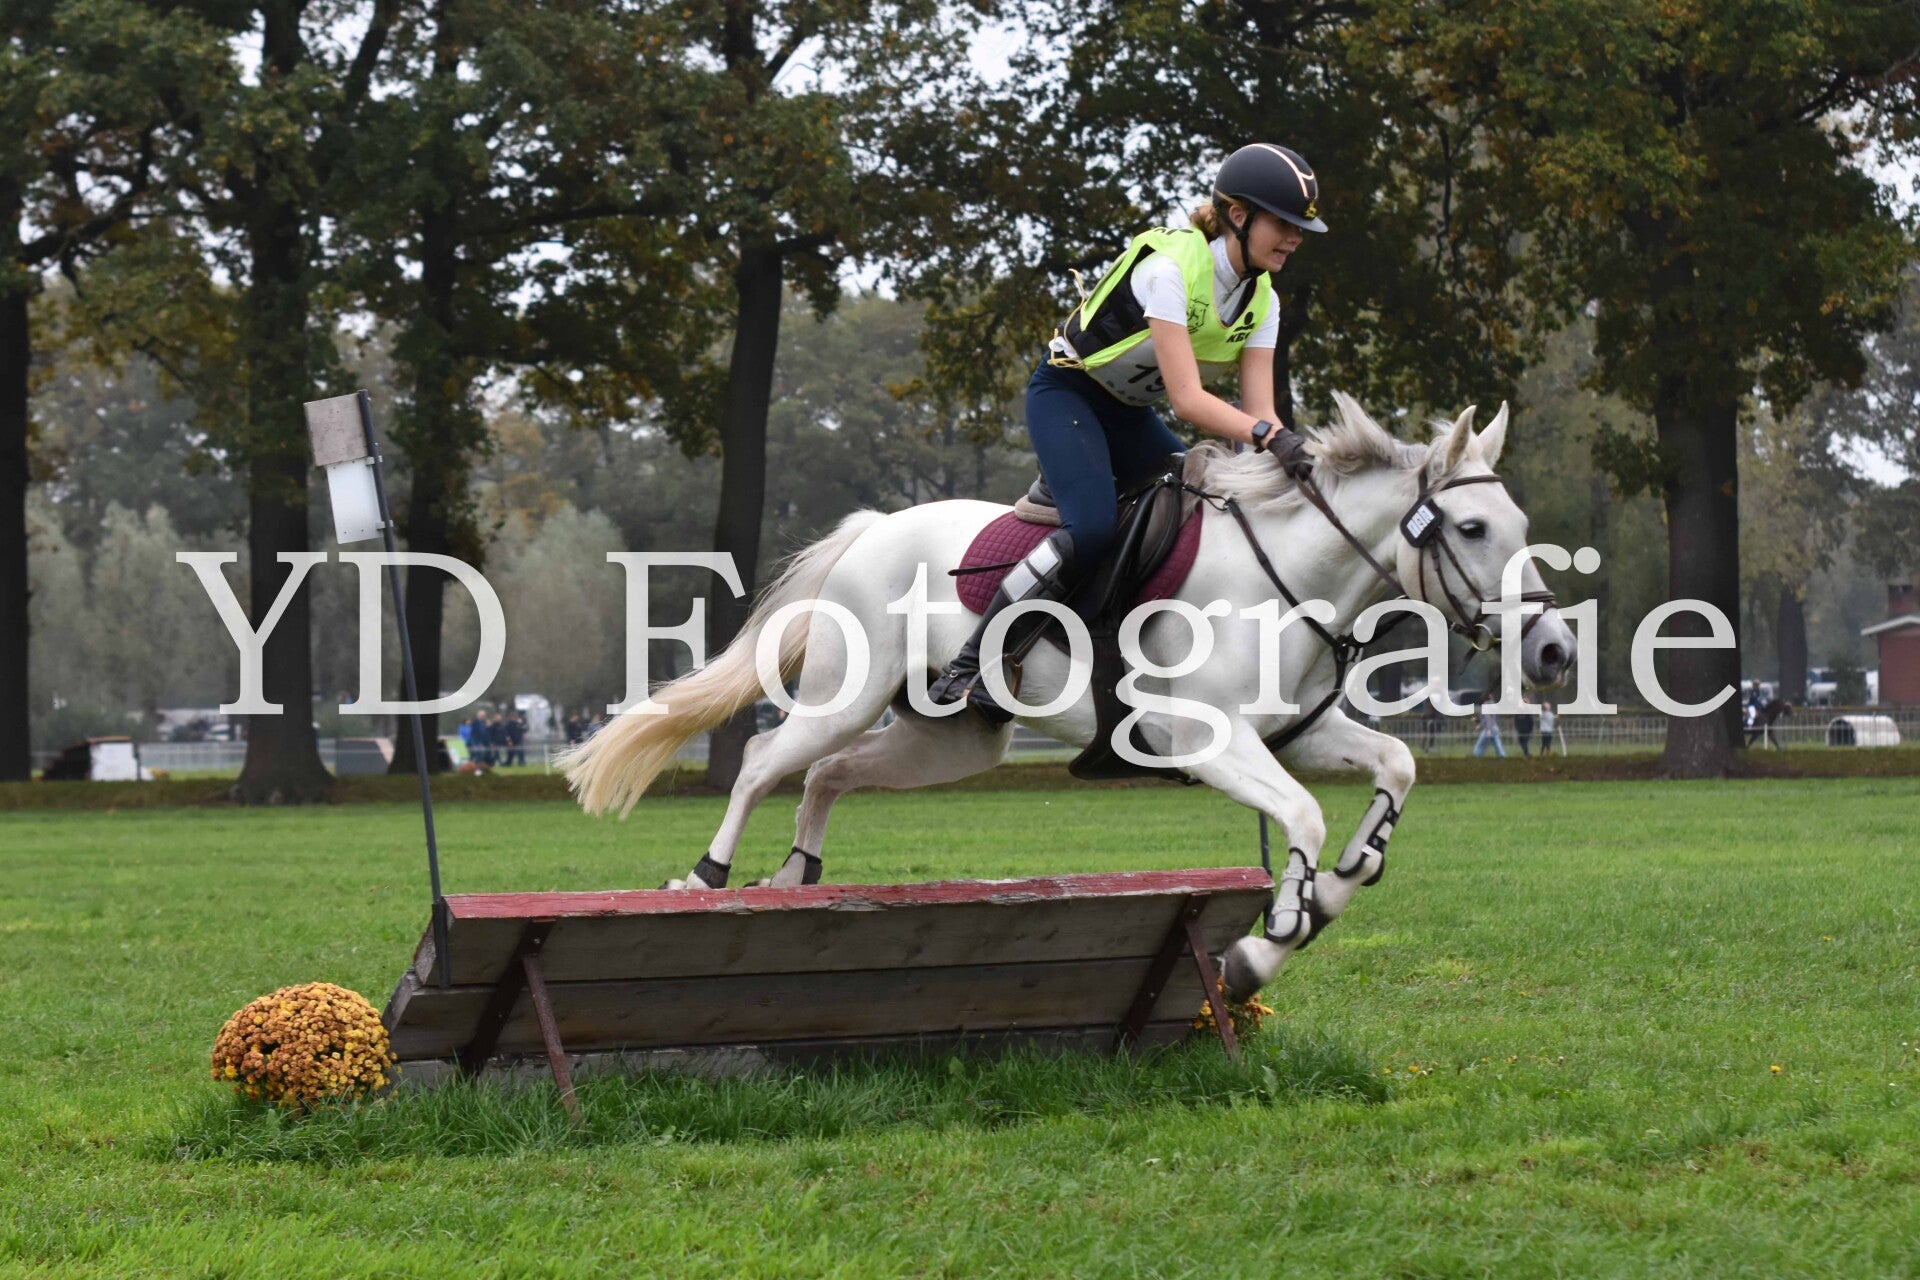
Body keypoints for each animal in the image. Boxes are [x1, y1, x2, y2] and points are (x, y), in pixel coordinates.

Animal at [563, 394, 1576, 999]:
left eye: (1522, 523)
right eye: (1472, 527)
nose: (1556, 650)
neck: (1291, 575)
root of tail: (874, 528)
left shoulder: (1297, 733)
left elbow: (1393, 769)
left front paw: (1313, 907)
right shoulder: (1196, 736)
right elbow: (1302, 818)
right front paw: (1275, 931)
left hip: (956, 738)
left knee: (829, 776)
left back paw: (793, 881)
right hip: (846, 694)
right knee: (766, 762)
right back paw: (708, 877)